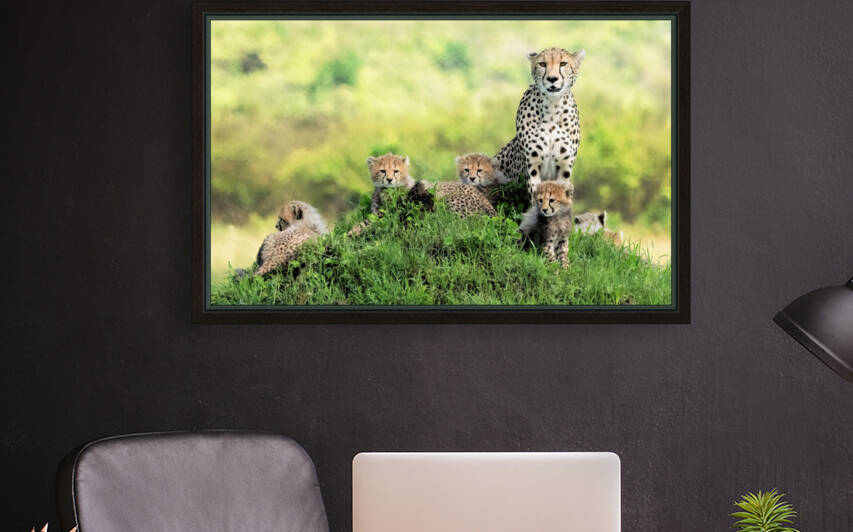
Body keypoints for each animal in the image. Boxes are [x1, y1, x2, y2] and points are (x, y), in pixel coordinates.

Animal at [494, 47, 585, 197]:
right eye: (543, 64)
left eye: (563, 64)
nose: (552, 79)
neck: (552, 107)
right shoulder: (533, 169)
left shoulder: (564, 171)